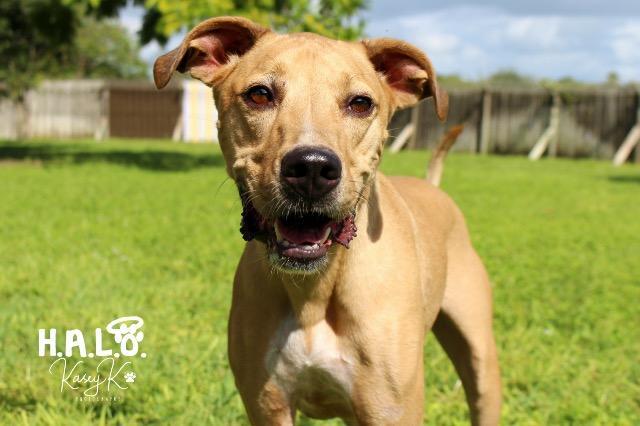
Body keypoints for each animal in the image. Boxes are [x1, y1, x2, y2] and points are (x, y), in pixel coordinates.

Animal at [154, 16, 500, 426]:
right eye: (259, 94)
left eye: (360, 103)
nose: (312, 168)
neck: (314, 289)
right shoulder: (268, 405)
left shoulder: (390, 410)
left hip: (480, 358)